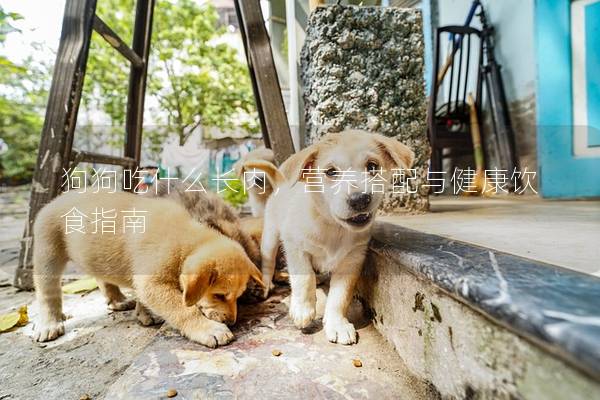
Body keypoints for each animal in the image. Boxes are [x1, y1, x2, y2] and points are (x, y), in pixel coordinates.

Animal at [31, 191, 262, 346]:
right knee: (48, 293)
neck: (185, 240)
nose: (232, 321)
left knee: (102, 278)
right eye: (220, 295)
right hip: (48, 253)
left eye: (238, 297)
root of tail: (56, 199)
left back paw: (118, 300)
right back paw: (49, 325)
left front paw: (143, 314)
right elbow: (182, 309)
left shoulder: (146, 279)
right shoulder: (153, 282)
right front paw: (208, 329)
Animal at [246, 130, 414, 346]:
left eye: (372, 166)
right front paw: (303, 309)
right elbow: (304, 278)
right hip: (270, 238)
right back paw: (267, 285)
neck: (334, 228)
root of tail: (281, 183)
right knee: (268, 264)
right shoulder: (295, 247)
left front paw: (337, 324)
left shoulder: (352, 260)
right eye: (331, 172)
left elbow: (339, 297)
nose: (360, 199)